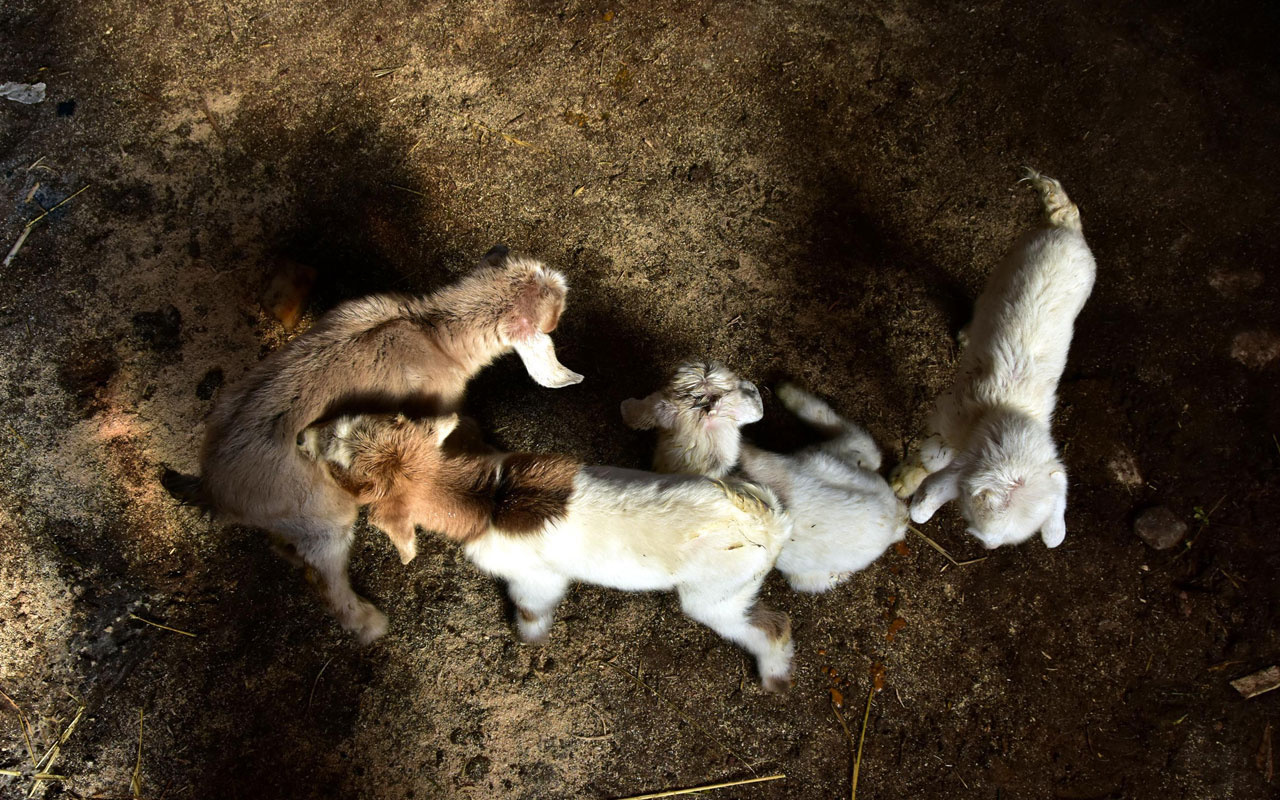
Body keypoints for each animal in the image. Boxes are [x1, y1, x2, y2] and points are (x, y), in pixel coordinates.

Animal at [165, 249, 581, 642]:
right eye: (554, 315)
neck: (432, 332)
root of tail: (215, 490)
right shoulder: (436, 406)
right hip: (325, 515)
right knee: (327, 578)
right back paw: (369, 623)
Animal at [304, 414, 793, 691]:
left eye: (341, 470)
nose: (301, 436)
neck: (487, 501)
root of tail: (769, 521)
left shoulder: (533, 576)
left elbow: (531, 606)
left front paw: (529, 637)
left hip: (716, 596)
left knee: (772, 627)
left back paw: (774, 680)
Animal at [896, 171, 1095, 547]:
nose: (986, 543)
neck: (1007, 410)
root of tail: (1066, 226)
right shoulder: (951, 418)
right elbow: (933, 459)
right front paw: (903, 482)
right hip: (1012, 258)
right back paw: (966, 333)